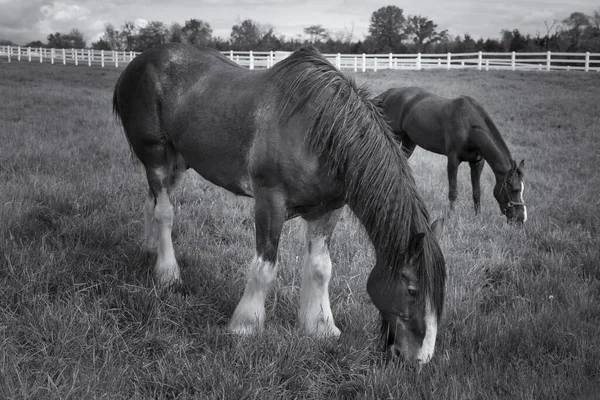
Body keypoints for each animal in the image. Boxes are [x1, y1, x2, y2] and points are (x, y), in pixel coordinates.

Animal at [112, 43, 446, 362]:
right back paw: (167, 273)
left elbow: (321, 267)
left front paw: (320, 327)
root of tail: (138, 61)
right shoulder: (269, 203)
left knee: (152, 202)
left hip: (178, 161)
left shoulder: (328, 210)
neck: (320, 130)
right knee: (164, 211)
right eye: (413, 290)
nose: (419, 358)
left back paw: (150, 249)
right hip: (155, 155)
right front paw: (246, 325)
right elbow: (265, 266)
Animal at [372, 87, 528, 223]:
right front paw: (451, 216)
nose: (521, 219)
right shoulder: (453, 160)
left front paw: (478, 216)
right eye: (515, 190)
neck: (470, 127)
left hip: (409, 141)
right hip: (394, 136)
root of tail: (391, 92)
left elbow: (476, 191)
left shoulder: (477, 162)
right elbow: (453, 191)